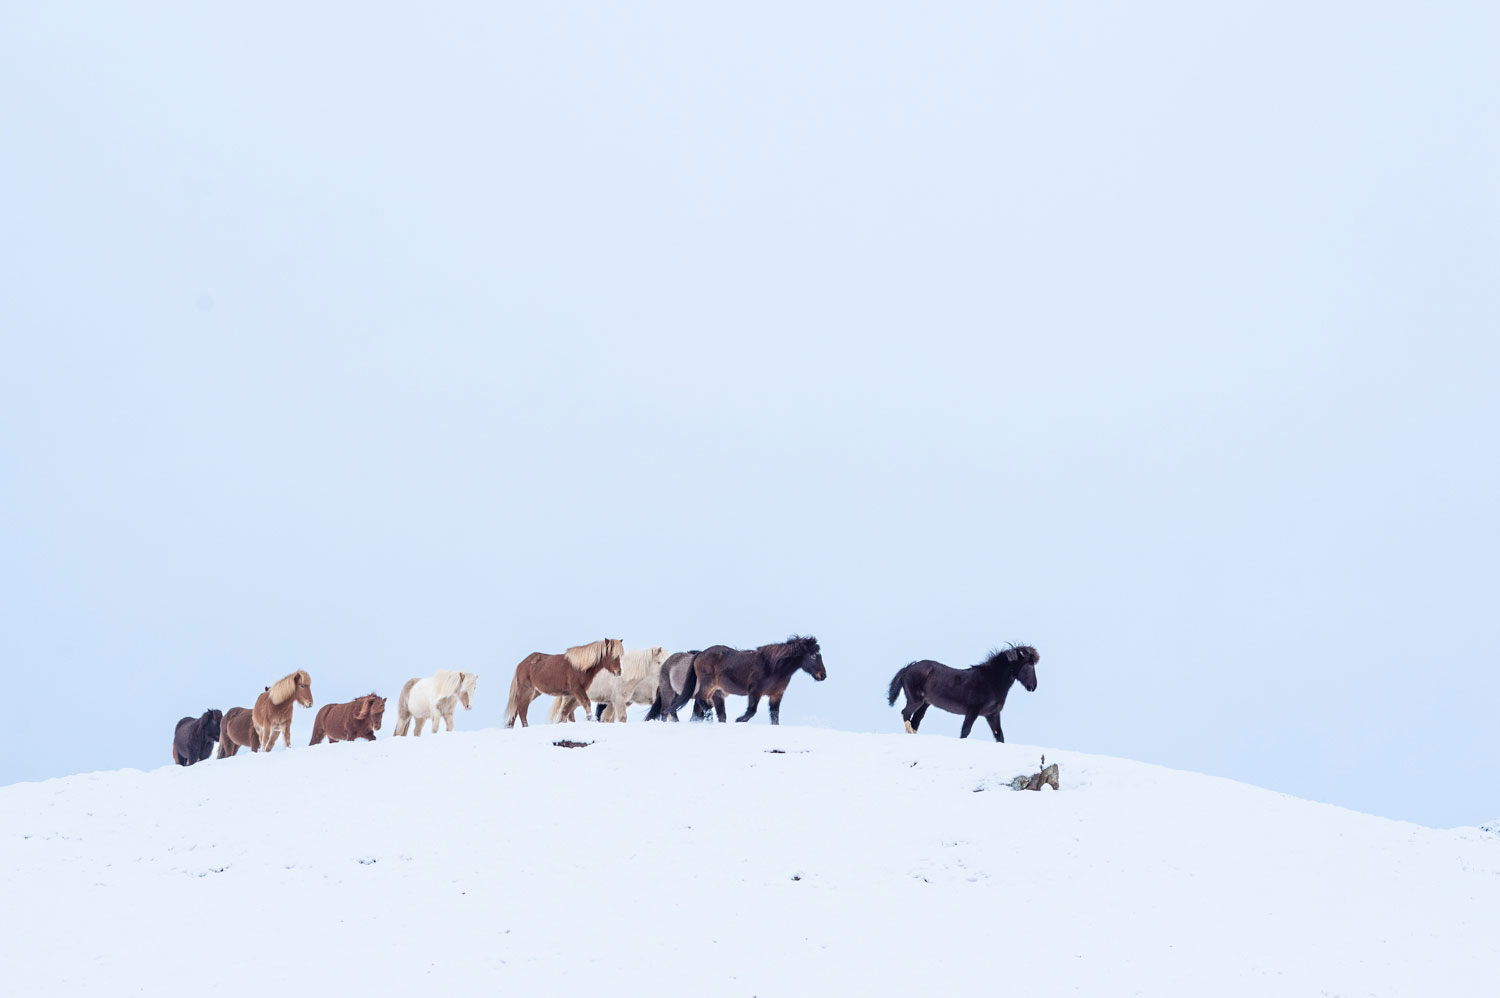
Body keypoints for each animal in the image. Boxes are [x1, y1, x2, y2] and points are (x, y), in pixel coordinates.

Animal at [687, 633, 828, 720]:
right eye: (813, 656)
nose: (823, 675)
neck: (774, 668)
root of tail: (700, 654)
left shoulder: (776, 695)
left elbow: (775, 717)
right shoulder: (755, 691)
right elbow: (751, 712)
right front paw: (738, 720)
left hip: (713, 689)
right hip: (708, 684)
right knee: (700, 698)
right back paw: (709, 716)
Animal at [882, 645, 1038, 738]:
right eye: (1030, 664)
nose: (1033, 686)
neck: (991, 680)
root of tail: (908, 668)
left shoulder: (992, 715)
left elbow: (999, 736)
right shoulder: (972, 711)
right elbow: (965, 732)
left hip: (924, 704)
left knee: (915, 721)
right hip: (916, 700)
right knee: (905, 714)